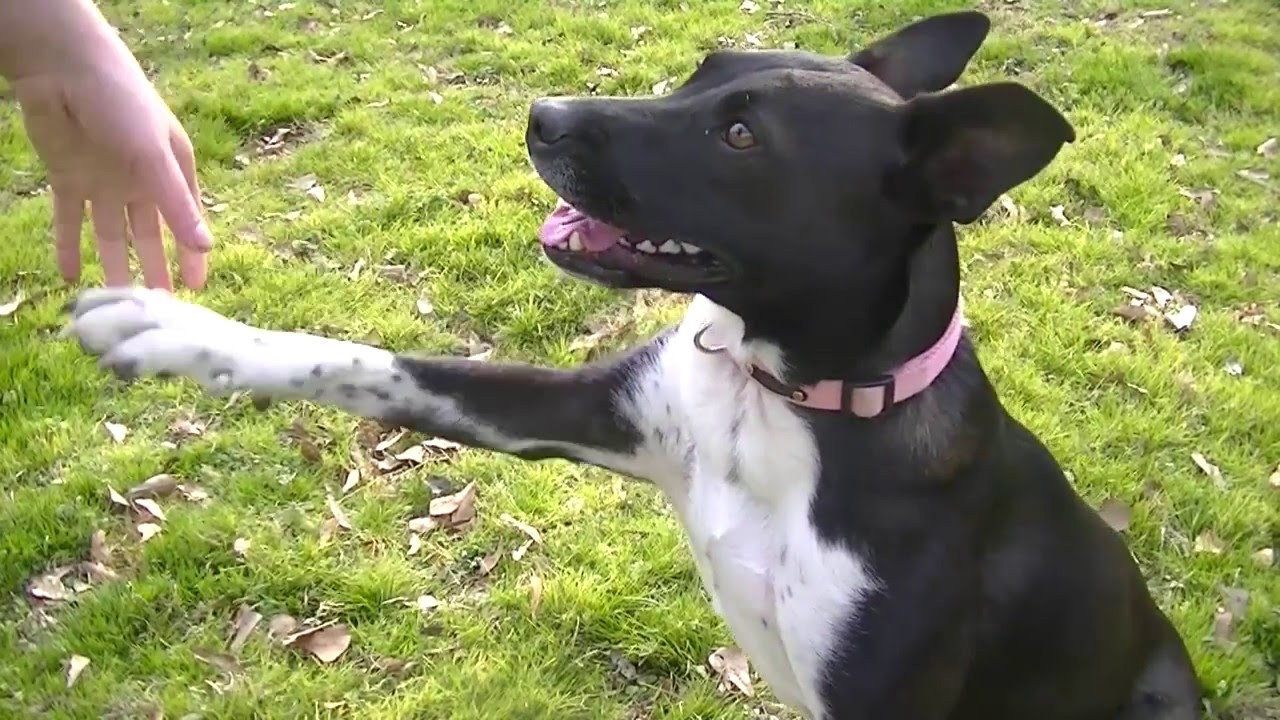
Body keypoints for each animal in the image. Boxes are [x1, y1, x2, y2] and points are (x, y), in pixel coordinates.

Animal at [60, 11, 1198, 717]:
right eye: (702, 68)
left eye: (740, 136)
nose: (543, 116)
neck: (780, 396)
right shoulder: (578, 410)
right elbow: (366, 363)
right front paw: (167, 324)